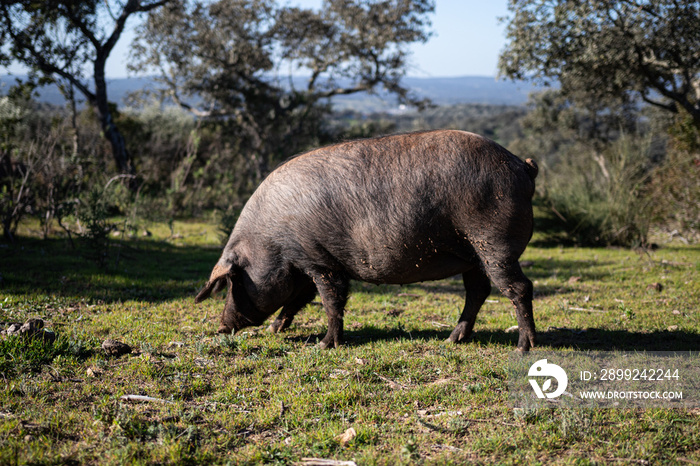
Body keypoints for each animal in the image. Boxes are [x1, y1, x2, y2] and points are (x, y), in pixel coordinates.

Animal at [194, 129, 540, 352]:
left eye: (234, 281)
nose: (221, 326)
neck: (270, 241)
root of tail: (522, 166)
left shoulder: (319, 261)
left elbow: (331, 300)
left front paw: (324, 346)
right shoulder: (306, 264)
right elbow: (299, 299)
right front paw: (276, 329)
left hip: (493, 243)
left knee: (519, 288)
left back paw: (524, 347)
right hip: (473, 255)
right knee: (478, 291)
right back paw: (453, 340)